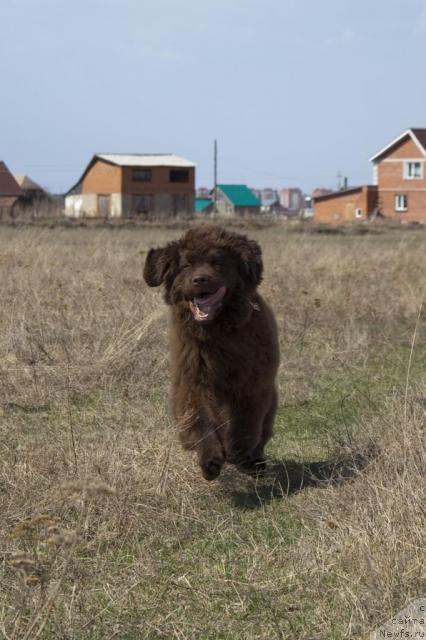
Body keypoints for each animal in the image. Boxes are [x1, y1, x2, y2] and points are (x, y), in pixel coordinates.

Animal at [144, 225, 280, 480]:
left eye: (218, 263)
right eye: (186, 265)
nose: (200, 279)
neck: (217, 332)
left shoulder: (253, 381)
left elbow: (247, 421)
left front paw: (239, 453)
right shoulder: (193, 379)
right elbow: (200, 420)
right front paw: (211, 461)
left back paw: (253, 463)